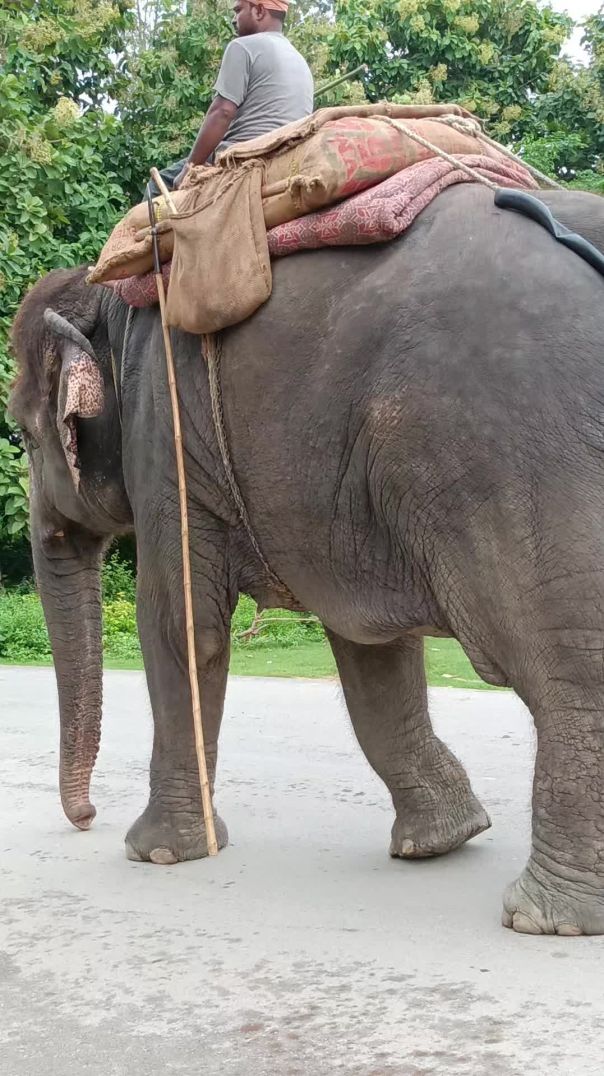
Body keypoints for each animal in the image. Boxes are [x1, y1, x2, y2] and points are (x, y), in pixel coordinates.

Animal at [9, 183, 604, 935]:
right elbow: (368, 645)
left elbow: (179, 625)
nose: (85, 818)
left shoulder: (163, 436)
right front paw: (440, 841)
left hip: (510, 456)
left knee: (561, 666)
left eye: (27, 436)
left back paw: (545, 918)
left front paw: (156, 854)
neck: (109, 293)